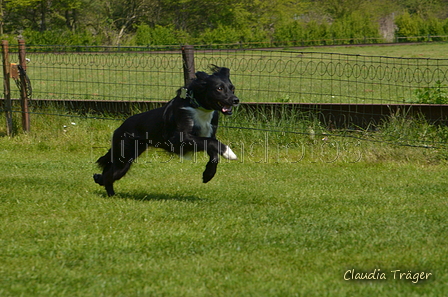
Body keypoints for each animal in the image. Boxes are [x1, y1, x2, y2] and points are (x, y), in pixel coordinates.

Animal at [93, 65, 240, 194]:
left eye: (232, 88)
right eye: (219, 88)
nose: (236, 100)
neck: (199, 108)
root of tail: (120, 127)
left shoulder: (208, 134)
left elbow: (213, 150)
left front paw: (208, 174)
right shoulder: (177, 138)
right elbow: (211, 142)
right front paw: (229, 152)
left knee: (107, 174)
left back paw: (100, 181)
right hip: (124, 155)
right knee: (109, 175)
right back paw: (110, 193)